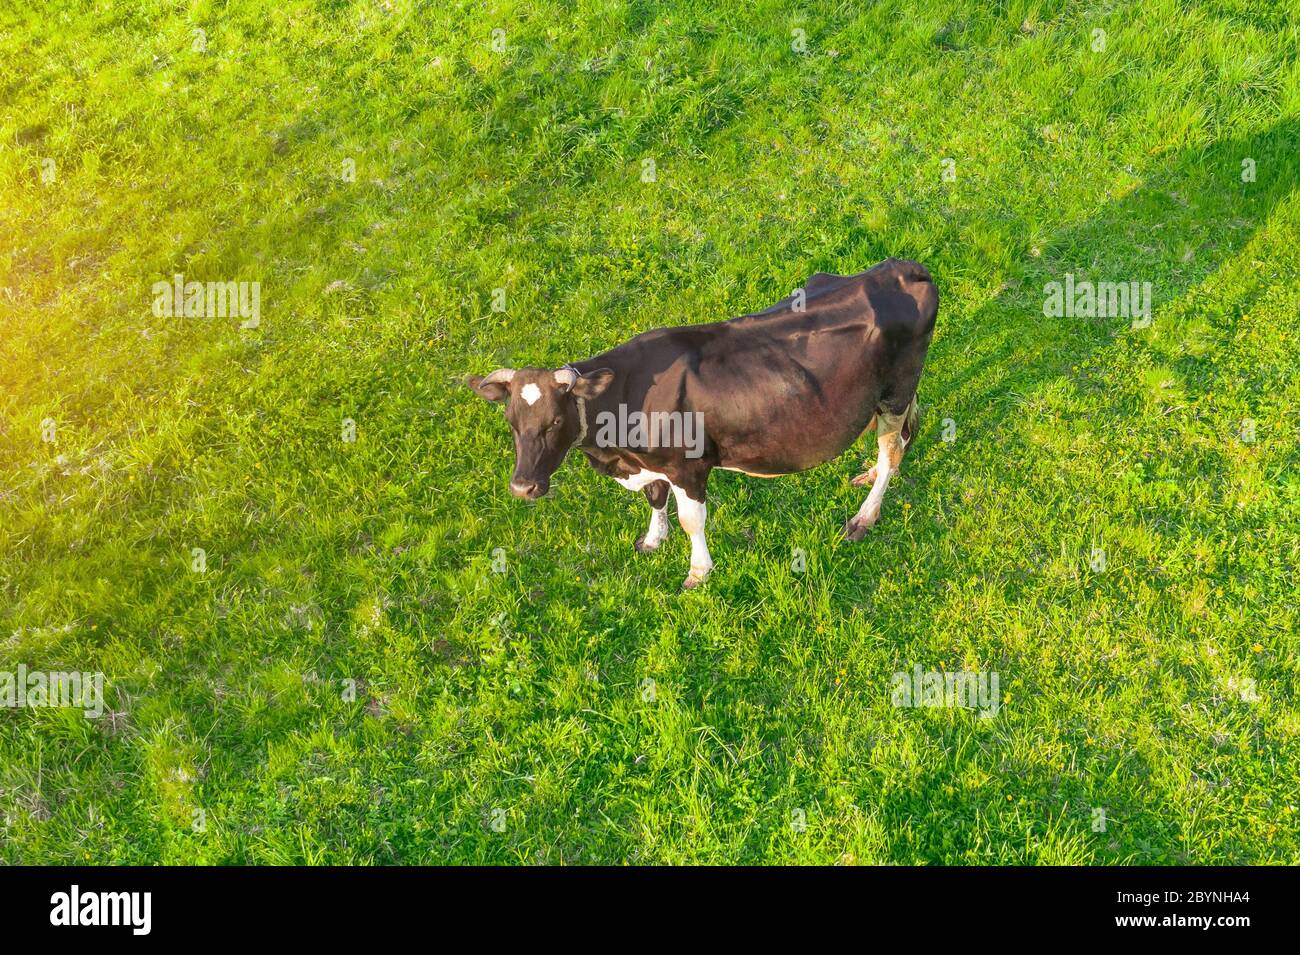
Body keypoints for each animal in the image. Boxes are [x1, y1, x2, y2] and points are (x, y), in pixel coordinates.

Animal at [467, 258, 938, 589]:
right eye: (511, 421)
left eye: (554, 420)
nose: (522, 487)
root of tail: (902, 267)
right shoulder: (651, 463)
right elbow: (655, 499)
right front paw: (652, 540)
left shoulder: (687, 466)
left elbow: (692, 520)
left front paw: (698, 572)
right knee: (896, 445)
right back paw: (868, 475)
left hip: (896, 391)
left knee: (892, 450)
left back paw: (864, 517)